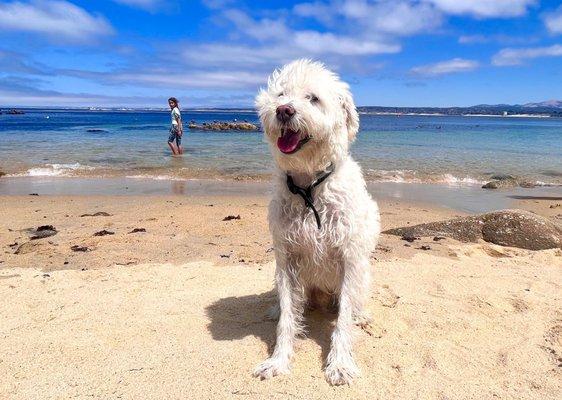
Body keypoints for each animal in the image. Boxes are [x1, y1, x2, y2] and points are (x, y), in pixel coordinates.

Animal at [254, 60, 380, 384]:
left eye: (313, 98)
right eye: (280, 94)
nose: (284, 110)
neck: (309, 185)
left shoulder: (348, 259)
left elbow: (343, 321)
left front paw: (340, 364)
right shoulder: (286, 259)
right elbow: (288, 317)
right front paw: (278, 360)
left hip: (362, 273)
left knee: (354, 303)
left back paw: (361, 315)